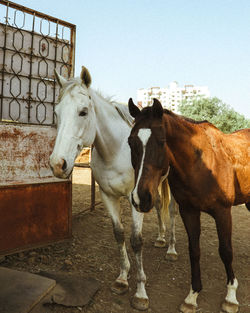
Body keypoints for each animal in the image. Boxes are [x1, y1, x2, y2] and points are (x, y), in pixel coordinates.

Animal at [128, 98, 249, 312]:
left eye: (161, 142)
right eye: (130, 142)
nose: (141, 198)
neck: (201, 165)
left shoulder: (223, 212)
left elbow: (226, 251)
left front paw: (231, 297)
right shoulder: (189, 211)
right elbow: (194, 251)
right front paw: (192, 296)